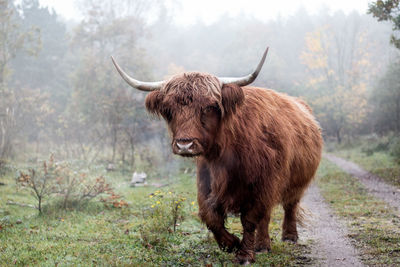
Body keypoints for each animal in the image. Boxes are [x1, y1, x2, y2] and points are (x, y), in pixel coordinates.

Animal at [111, 48, 324, 266]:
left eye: (209, 107)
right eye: (169, 110)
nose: (184, 144)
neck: (226, 154)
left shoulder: (263, 184)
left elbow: (249, 219)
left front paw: (244, 254)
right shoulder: (206, 182)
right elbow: (210, 216)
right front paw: (231, 243)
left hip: (296, 181)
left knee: (289, 205)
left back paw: (288, 237)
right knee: (267, 215)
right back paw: (263, 245)